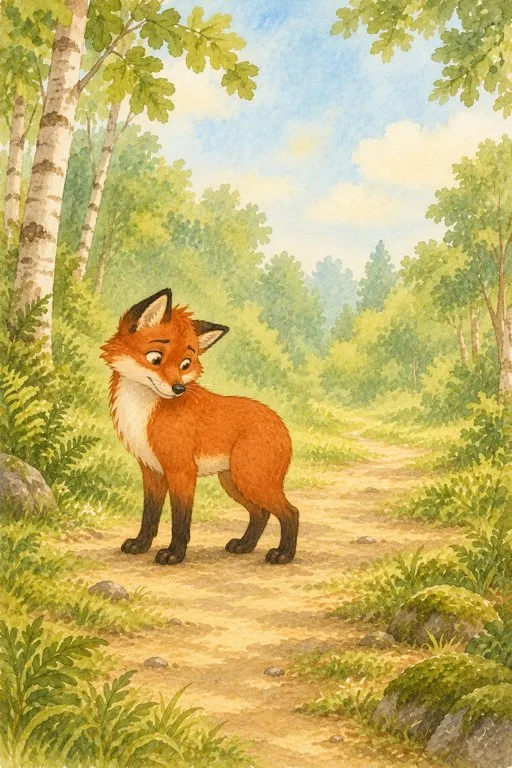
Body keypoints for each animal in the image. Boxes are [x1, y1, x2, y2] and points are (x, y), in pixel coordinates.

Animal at [101, 288, 299, 566]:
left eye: (185, 364)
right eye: (155, 358)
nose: (179, 389)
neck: (144, 409)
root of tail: (279, 422)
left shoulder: (181, 471)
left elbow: (180, 521)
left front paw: (174, 554)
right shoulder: (152, 471)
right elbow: (150, 516)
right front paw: (140, 545)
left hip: (251, 481)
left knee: (291, 512)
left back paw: (284, 555)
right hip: (234, 482)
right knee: (261, 514)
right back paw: (245, 546)